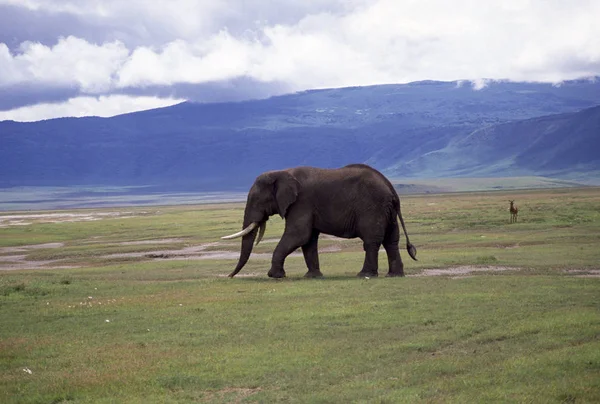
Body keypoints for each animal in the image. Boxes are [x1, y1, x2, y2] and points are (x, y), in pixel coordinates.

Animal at [220, 164, 418, 278]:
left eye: (256, 200)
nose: (229, 276)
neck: (282, 172)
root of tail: (391, 188)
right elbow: (308, 240)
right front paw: (312, 276)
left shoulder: (301, 202)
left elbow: (298, 235)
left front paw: (275, 276)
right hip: (388, 211)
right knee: (391, 241)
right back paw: (394, 275)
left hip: (373, 207)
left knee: (371, 241)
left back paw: (364, 274)